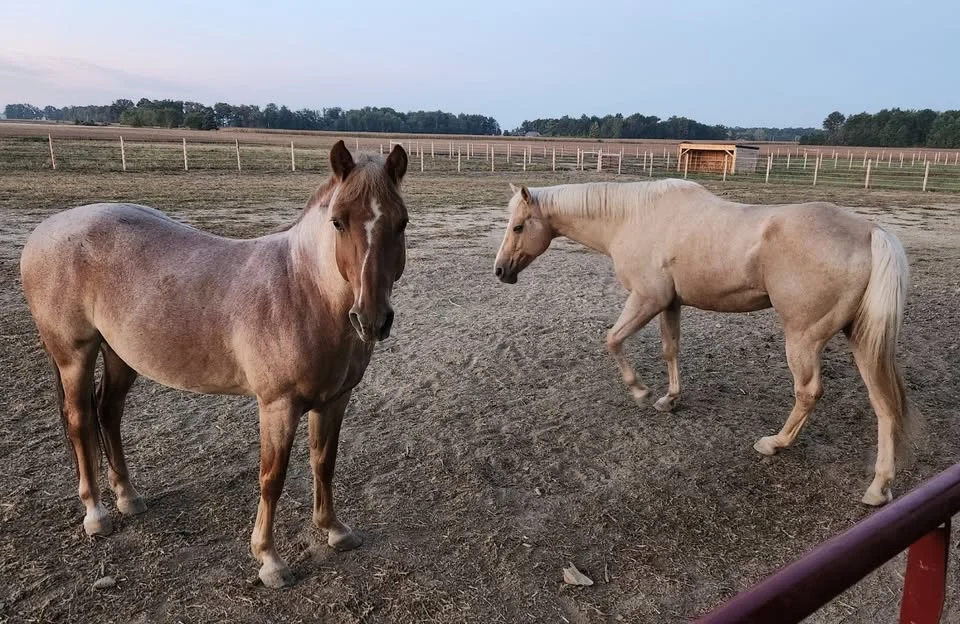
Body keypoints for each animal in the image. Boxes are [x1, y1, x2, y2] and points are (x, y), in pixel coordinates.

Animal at [19, 140, 409, 588]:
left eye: (401, 223)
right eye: (338, 222)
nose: (372, 319)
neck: (302, 290)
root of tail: (43, 232)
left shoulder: (334, 401)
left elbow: (324, 463)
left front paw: (334, 530)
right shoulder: (277, 407)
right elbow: (272, 479)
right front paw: (269, 559)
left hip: (120, 355)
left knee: (108, 412)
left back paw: (128, 497)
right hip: (75, 355)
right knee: (81, 420)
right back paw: (96, 514)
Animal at [493, 178, 917, 506]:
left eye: (518, 227)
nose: (500, 271)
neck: (633, 217)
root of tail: (869, 231)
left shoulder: (646, 299)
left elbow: (612, 340)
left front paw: (640, 392)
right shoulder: (669, 303)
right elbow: (670, 349)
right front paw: (669, 399)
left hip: (803, 337)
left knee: (809, 392)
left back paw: (774, 444)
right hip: (860, 339)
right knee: (884, 404)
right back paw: (879, 487)